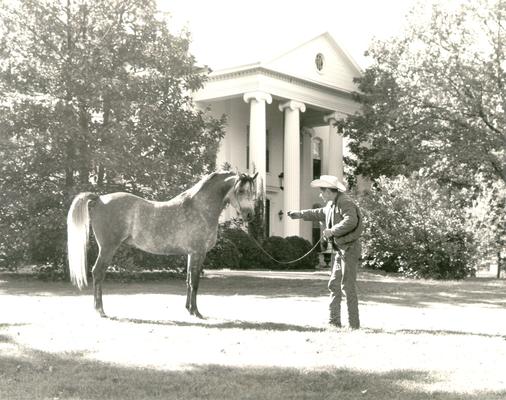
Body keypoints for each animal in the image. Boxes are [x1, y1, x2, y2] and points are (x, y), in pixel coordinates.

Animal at [66, 171, 256, 318]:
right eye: (240, 190)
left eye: (252, 191)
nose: (249, 215)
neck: (200, 208)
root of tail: (99, 199)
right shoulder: (198, 253)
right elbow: (195, 282)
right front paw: (196, 312)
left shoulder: (191, 254)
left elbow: (188, 280)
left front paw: (188, 309)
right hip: (107, 248)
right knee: (97, 272)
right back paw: (100, 310)